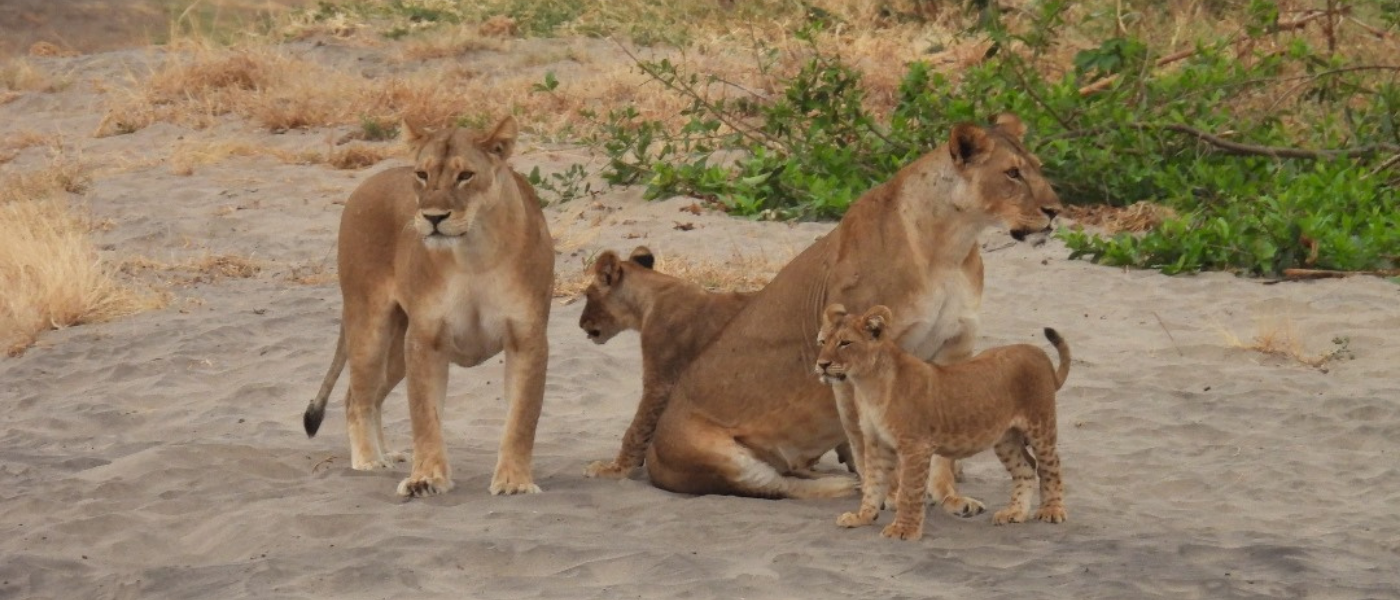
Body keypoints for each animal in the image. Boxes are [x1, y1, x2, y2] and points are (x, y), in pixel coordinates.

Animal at [302, 116, 554, 498]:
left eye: (465, 175)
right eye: (422, 174)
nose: (434, 217)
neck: (475, 253)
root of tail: (366, 183)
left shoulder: (527, 338)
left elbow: (522, 417)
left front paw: (514, 482)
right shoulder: (426, 338)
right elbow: (424, 415)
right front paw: (426, 479)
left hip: (396, 347)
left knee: (370, 395)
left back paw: (386, 455)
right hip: (369, 324)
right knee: (357, 397)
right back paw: (368, 461)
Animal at [576, 246, 757, 479]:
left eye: (588, 295)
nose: (580, 324)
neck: (647, 301)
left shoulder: (660, 383)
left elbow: (637, 429)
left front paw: (617, 468)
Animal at [644, 114, 1063, 502]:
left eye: (1038, 167)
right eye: (1012, 173)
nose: (1055, 211)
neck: (950, 245)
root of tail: (654, 456)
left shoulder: (955, 345)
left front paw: (950, 497)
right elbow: (867, 437)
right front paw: (890, 495)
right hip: (720, 457)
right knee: (778, 486)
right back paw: (842, 486)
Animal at [816, 304, 1070, 541]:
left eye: (845, 343)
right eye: (822, 341)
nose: (822, 364)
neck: (867, 385)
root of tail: (1037, 352)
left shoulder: (916, 446)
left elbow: (909, 491)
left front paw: (904, 530)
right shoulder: (877, 444)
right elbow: (872, 484)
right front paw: (862, 517)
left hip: (1041, 425)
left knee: (1051, 467)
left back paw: (1052, 511)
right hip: (1006, 438)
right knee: (1026, 467)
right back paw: (1014, 513)